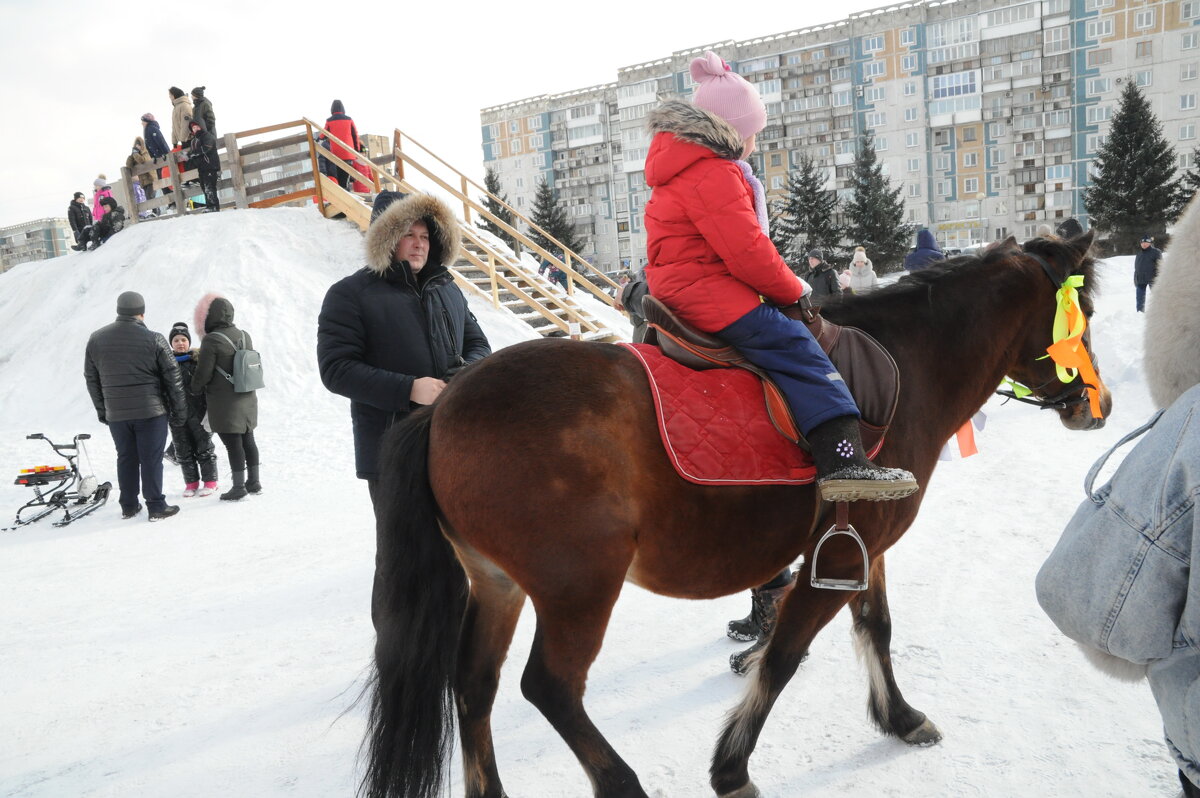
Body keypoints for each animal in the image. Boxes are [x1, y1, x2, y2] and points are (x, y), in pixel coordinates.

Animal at [360, 230, 1108, 796]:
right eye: (1083, 318)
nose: (1093, 407)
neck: (907, 367)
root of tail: (442, 407)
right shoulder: (834, 556)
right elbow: (784, 655)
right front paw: (731, 768)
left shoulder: (863, 547)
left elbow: (877, 629)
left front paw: (899, 717)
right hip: (579, 587)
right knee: (550, 686)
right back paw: (622, 782)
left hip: (498, 584)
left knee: (473, 686)